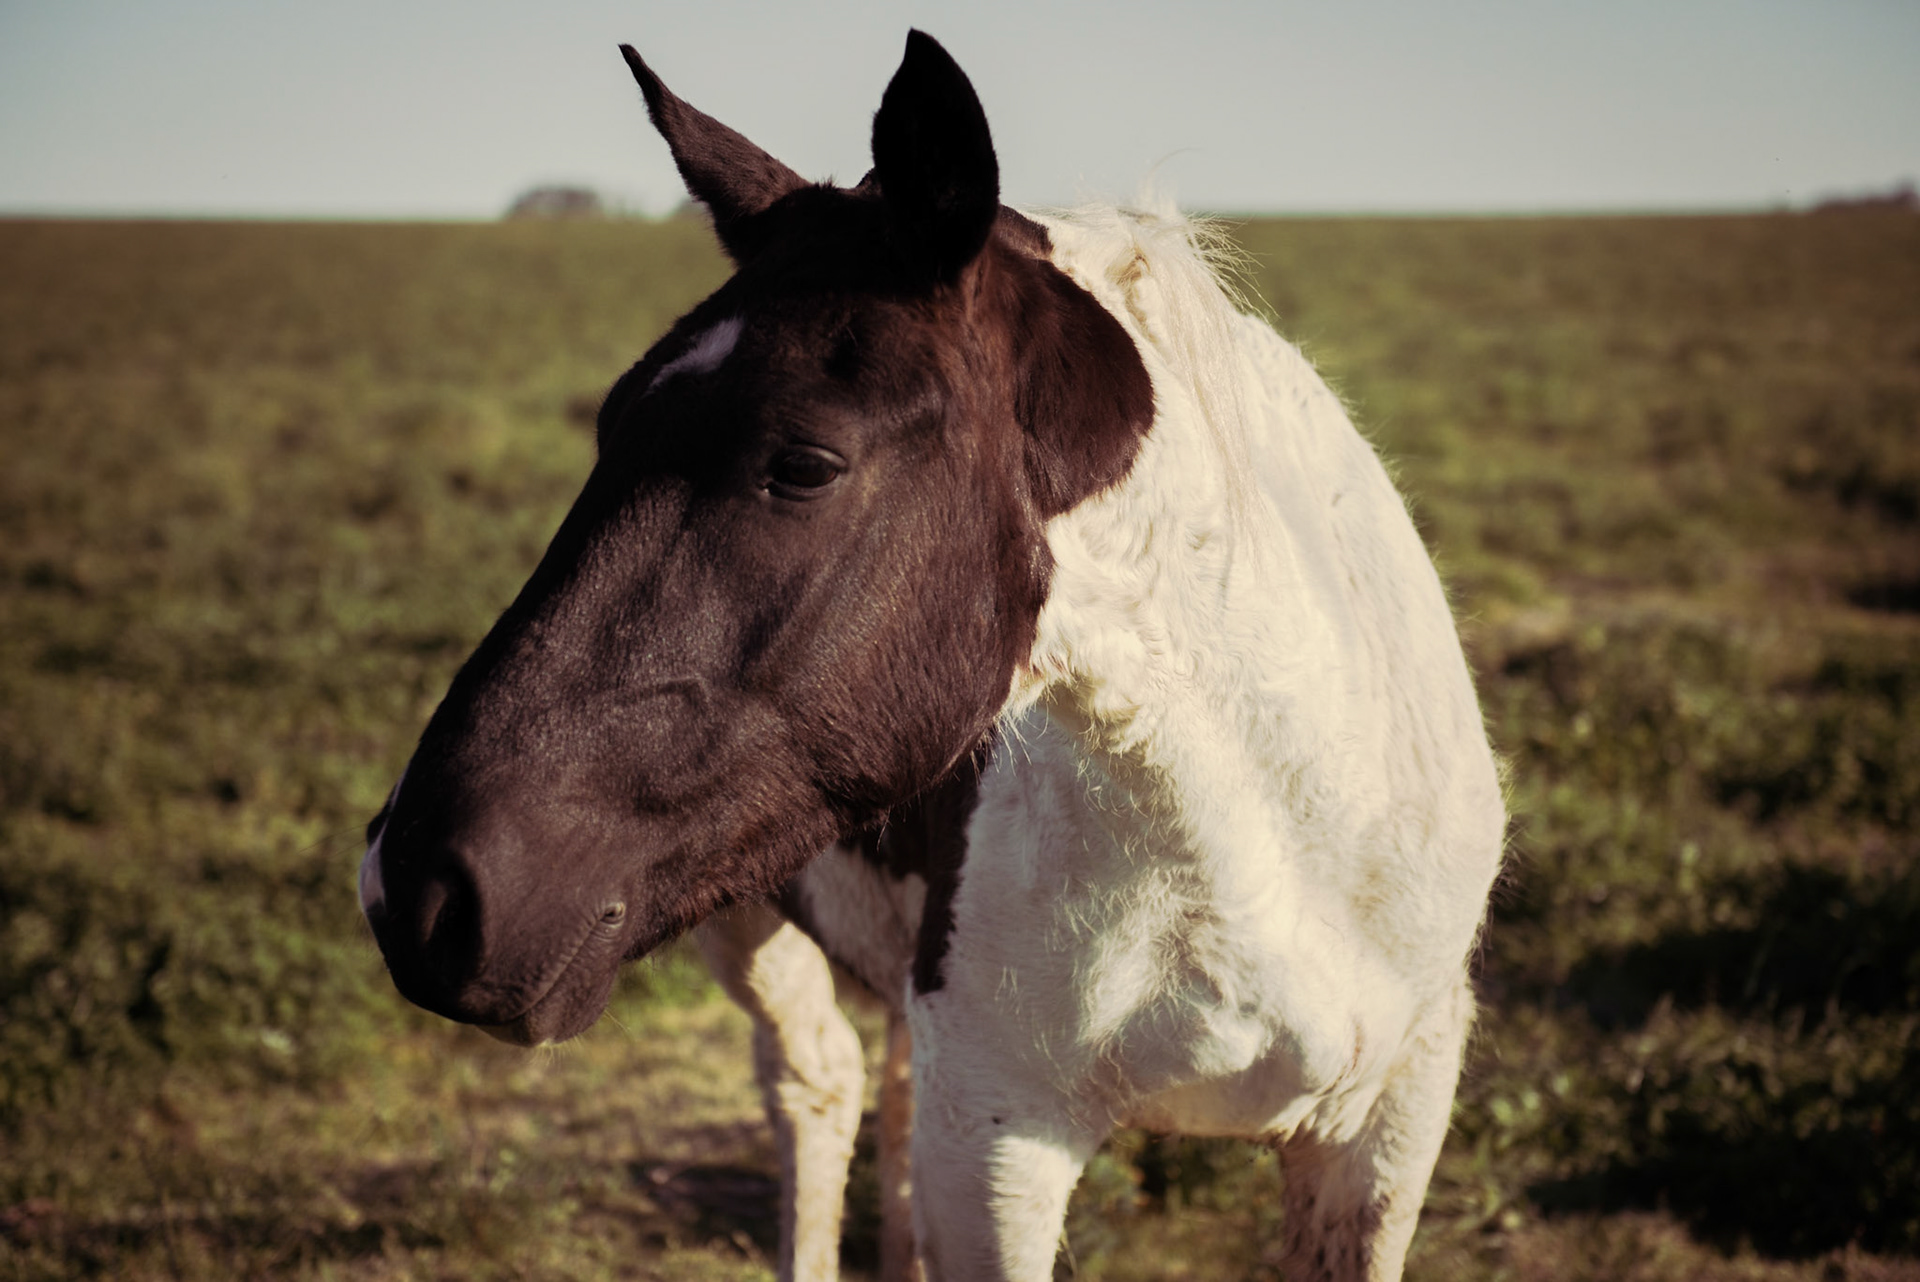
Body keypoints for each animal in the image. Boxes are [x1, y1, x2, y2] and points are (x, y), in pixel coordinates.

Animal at [358, 30, 1505, 1282]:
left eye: (804, 464)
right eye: (609, 425)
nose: (412, 885)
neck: (1277, 840)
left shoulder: (1386, 1129)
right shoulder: (999, 1149)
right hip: (746, 922)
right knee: (818, 1089)